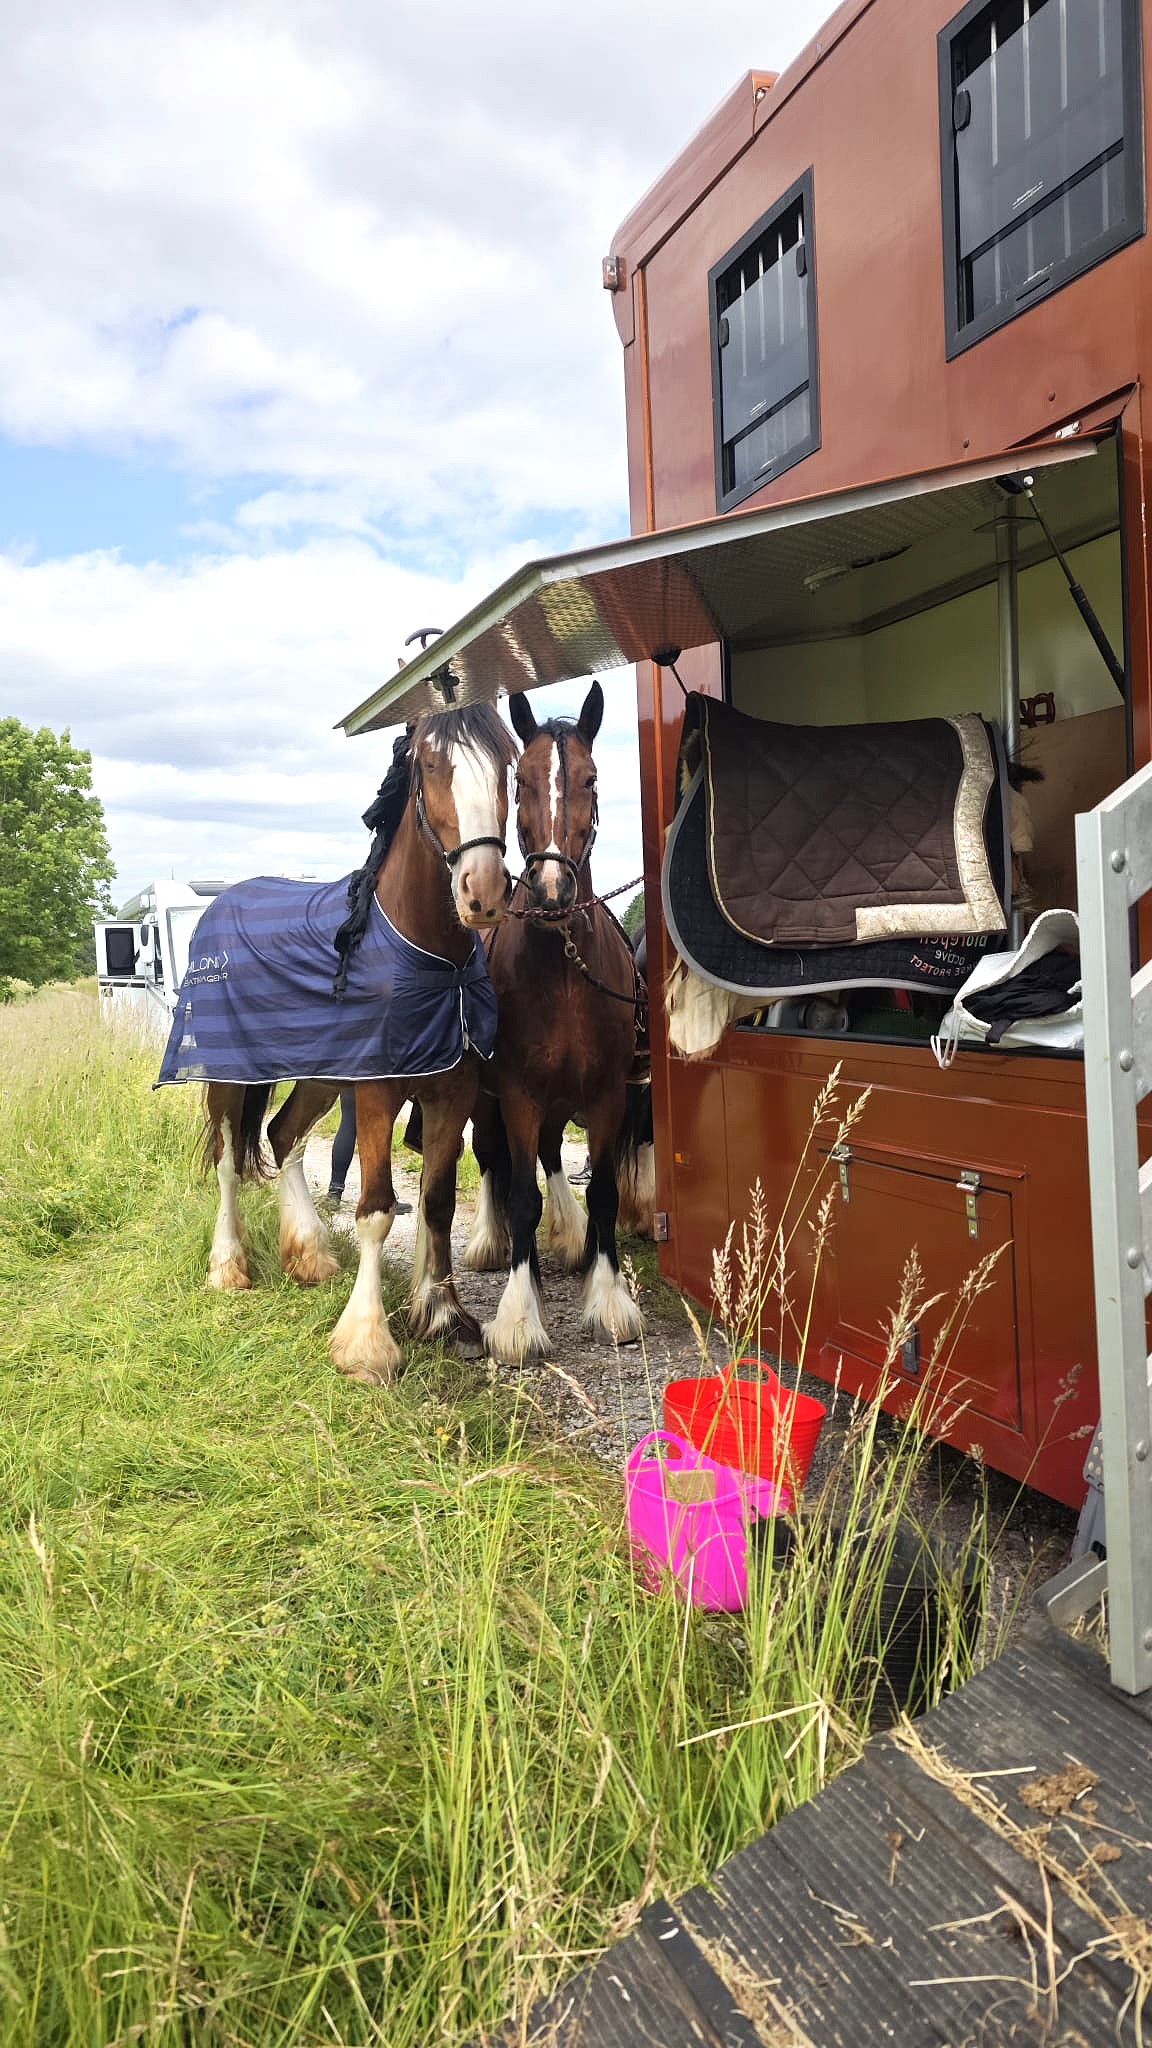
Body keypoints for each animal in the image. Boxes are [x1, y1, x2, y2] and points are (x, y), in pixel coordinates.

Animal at [161, 703, 517, 1386]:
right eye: (429, 763)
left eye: (507, 762)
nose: (482, 893)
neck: (428, 956)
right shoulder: (378, 1092)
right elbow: (376, 1206)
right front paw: (366, 1343)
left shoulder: (452, 1091)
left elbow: (435, 1202)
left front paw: (442, 1314)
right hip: (230, 1077)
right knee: (227, 1160)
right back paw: (229, 1267)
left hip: (321, 1076)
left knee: (282, 1136)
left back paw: (309, 1256)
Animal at [462, 681, 646, 1362]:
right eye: (520, 783)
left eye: (590, 779)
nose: (549, 891)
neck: (565, 967)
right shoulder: (517, 1093)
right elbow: (519, 1195)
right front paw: (519, 1317)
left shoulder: (608, 1094)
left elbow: (604, 1190)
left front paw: (609, 1298)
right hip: (488, 1099)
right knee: (495, 1161)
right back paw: (495, 1244)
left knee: (546, 1158)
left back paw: (567, 1239)